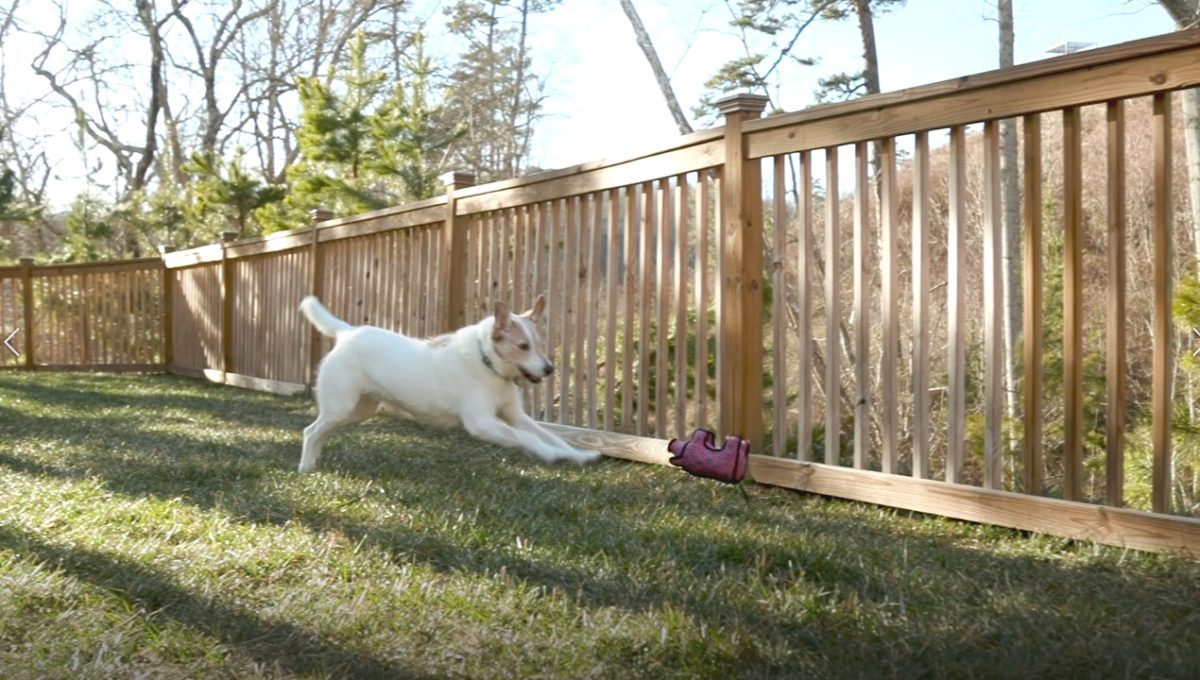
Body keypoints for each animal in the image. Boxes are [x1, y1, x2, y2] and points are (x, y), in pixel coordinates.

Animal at [296, 292, 604, 472]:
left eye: (538, 344)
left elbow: (551, 435)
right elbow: (527, 439)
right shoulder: (483, 423)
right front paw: (549, 455)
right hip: (342, 407)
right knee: (311, 431)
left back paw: (314, 461)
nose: (549, 369)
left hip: (358, 411)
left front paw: (578, 455)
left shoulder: (516, 416)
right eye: (523, 346)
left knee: (320, 432)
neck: (488, 363)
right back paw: (305, 466)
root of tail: (348, 332)